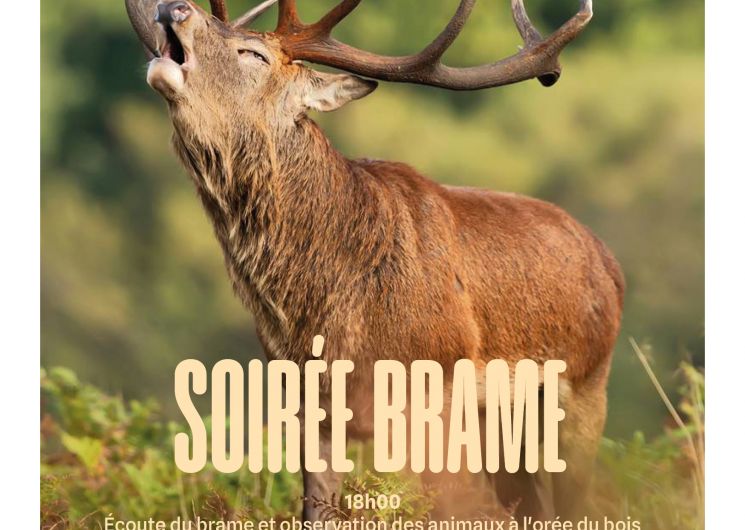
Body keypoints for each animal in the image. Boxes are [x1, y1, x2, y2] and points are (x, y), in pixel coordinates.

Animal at [124, 0, 623, 521]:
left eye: (253, 53)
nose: (175, 7)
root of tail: (608, 262)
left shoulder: (431, 388)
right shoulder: (308, 401)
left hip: (587, 386)